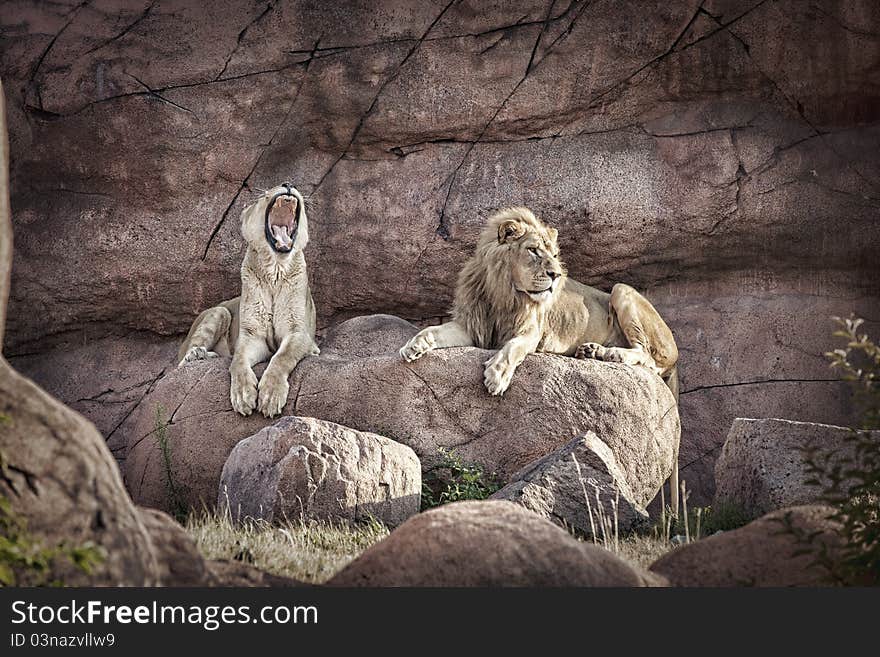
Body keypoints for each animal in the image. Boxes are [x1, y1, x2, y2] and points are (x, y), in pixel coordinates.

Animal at [177, 181, 318, 416]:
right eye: (264, 195)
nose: (288, 184)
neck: (275, 269)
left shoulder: (299, 333)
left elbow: (282, 357)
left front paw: (271, 395)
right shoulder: (252, 336)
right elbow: (238, 361)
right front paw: (243, 394)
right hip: (220, 311)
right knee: (180, 363)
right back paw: (198, 355)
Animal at [398, 208, 680, 504]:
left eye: (554, 255)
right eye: (533, 250)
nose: (555, 275)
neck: (505, 292)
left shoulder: (531, 332)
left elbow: (512, 349)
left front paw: (497, 376)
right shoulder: (471, 326)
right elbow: (432, 330)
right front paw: (413, 346)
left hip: (621, 290)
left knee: (648, 357)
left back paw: (609, 352)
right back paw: (591, 350)